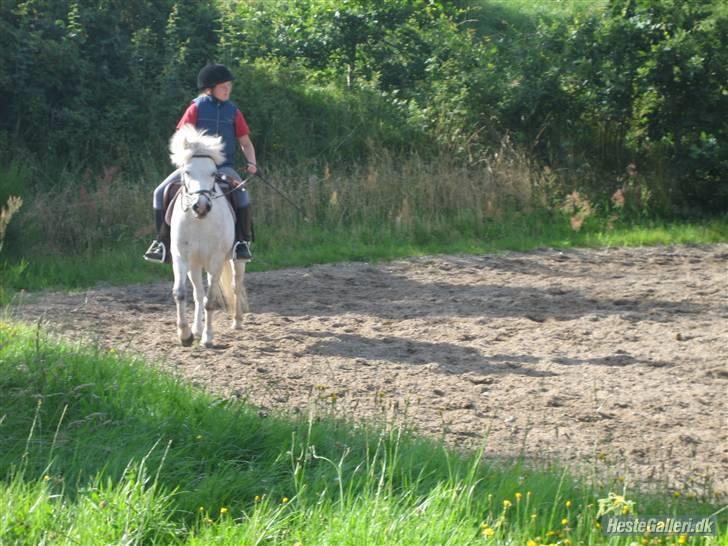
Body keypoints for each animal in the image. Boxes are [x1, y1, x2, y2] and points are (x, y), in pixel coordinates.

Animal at [169, 124, 249, 344]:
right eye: (187, 171)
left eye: (213, 173)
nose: (201, 206)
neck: (199, 222)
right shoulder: (180, 257)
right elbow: (181, 294)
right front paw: (185, 334)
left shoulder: (216, 260)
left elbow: (211, 299)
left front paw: (208, 337)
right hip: (195, 265)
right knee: (198, 293)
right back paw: (196, 329)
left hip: (236, 260)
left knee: (236, 285)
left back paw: (237, 321)